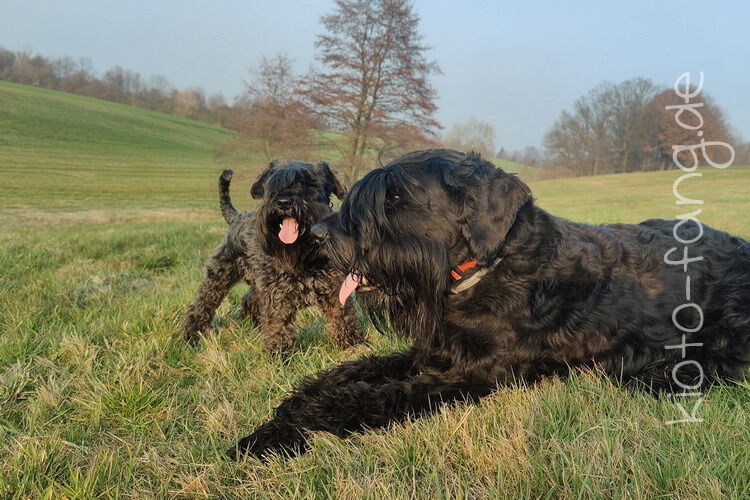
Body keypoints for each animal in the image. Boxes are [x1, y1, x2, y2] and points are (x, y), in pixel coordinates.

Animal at [183, 160, 364, 355]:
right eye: (273, 185)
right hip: (218, 276)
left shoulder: (334, 288)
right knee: (201, 306)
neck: (304, 254)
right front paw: (279, 353)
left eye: (309, 184)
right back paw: (191, 335)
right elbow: (278, 325)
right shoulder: (277, 294)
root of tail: (236, 217)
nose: (283, 202)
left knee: (249, 299)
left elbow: (343, 317)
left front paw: (353, 344)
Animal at [228, 149, 750, 459]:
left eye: (394, 196)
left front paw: (280, 432)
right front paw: (281, 416)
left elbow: (364, 397)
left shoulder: (471, 376)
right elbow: (345, 374)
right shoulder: (431, 354)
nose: (318, 235)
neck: (488, 268)